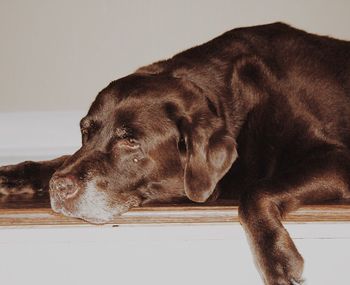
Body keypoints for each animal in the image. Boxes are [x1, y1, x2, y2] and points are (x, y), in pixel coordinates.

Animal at [0, 22, 350, 284]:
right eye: (86, 131)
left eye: (130, 142)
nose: (59, 188)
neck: (229, 107)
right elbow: (61, 159)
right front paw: (15, 174)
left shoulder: (337, 159)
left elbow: (255, 191)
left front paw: (277, 260)